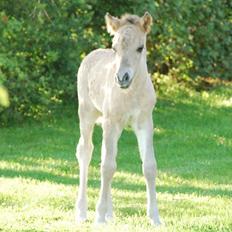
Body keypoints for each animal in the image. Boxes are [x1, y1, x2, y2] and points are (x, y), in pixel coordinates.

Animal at [76, 12, 161, 225]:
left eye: (140, 47)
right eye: (115, 48)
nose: (122, 77)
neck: (131, 94)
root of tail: (90, 55)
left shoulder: (145, 123)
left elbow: (149, 166)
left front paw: (155, 218)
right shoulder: (111, 123)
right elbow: (107, 167)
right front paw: (98, 218)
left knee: (104, 155)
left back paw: (110, 213)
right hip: (86, 114)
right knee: (86, 151)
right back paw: (82, 212)